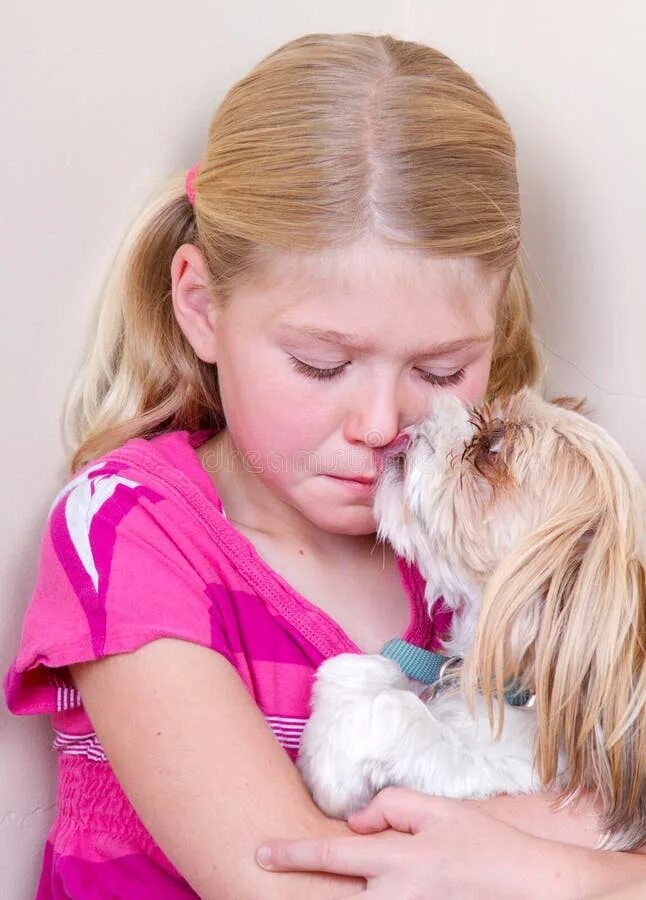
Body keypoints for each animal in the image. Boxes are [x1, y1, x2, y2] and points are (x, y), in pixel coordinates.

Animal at [298, 388, 646, 852]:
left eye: (492, 447)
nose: (428, 411)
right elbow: (369, 671)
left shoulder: (496, 768)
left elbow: (397, 715)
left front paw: (330, 764)